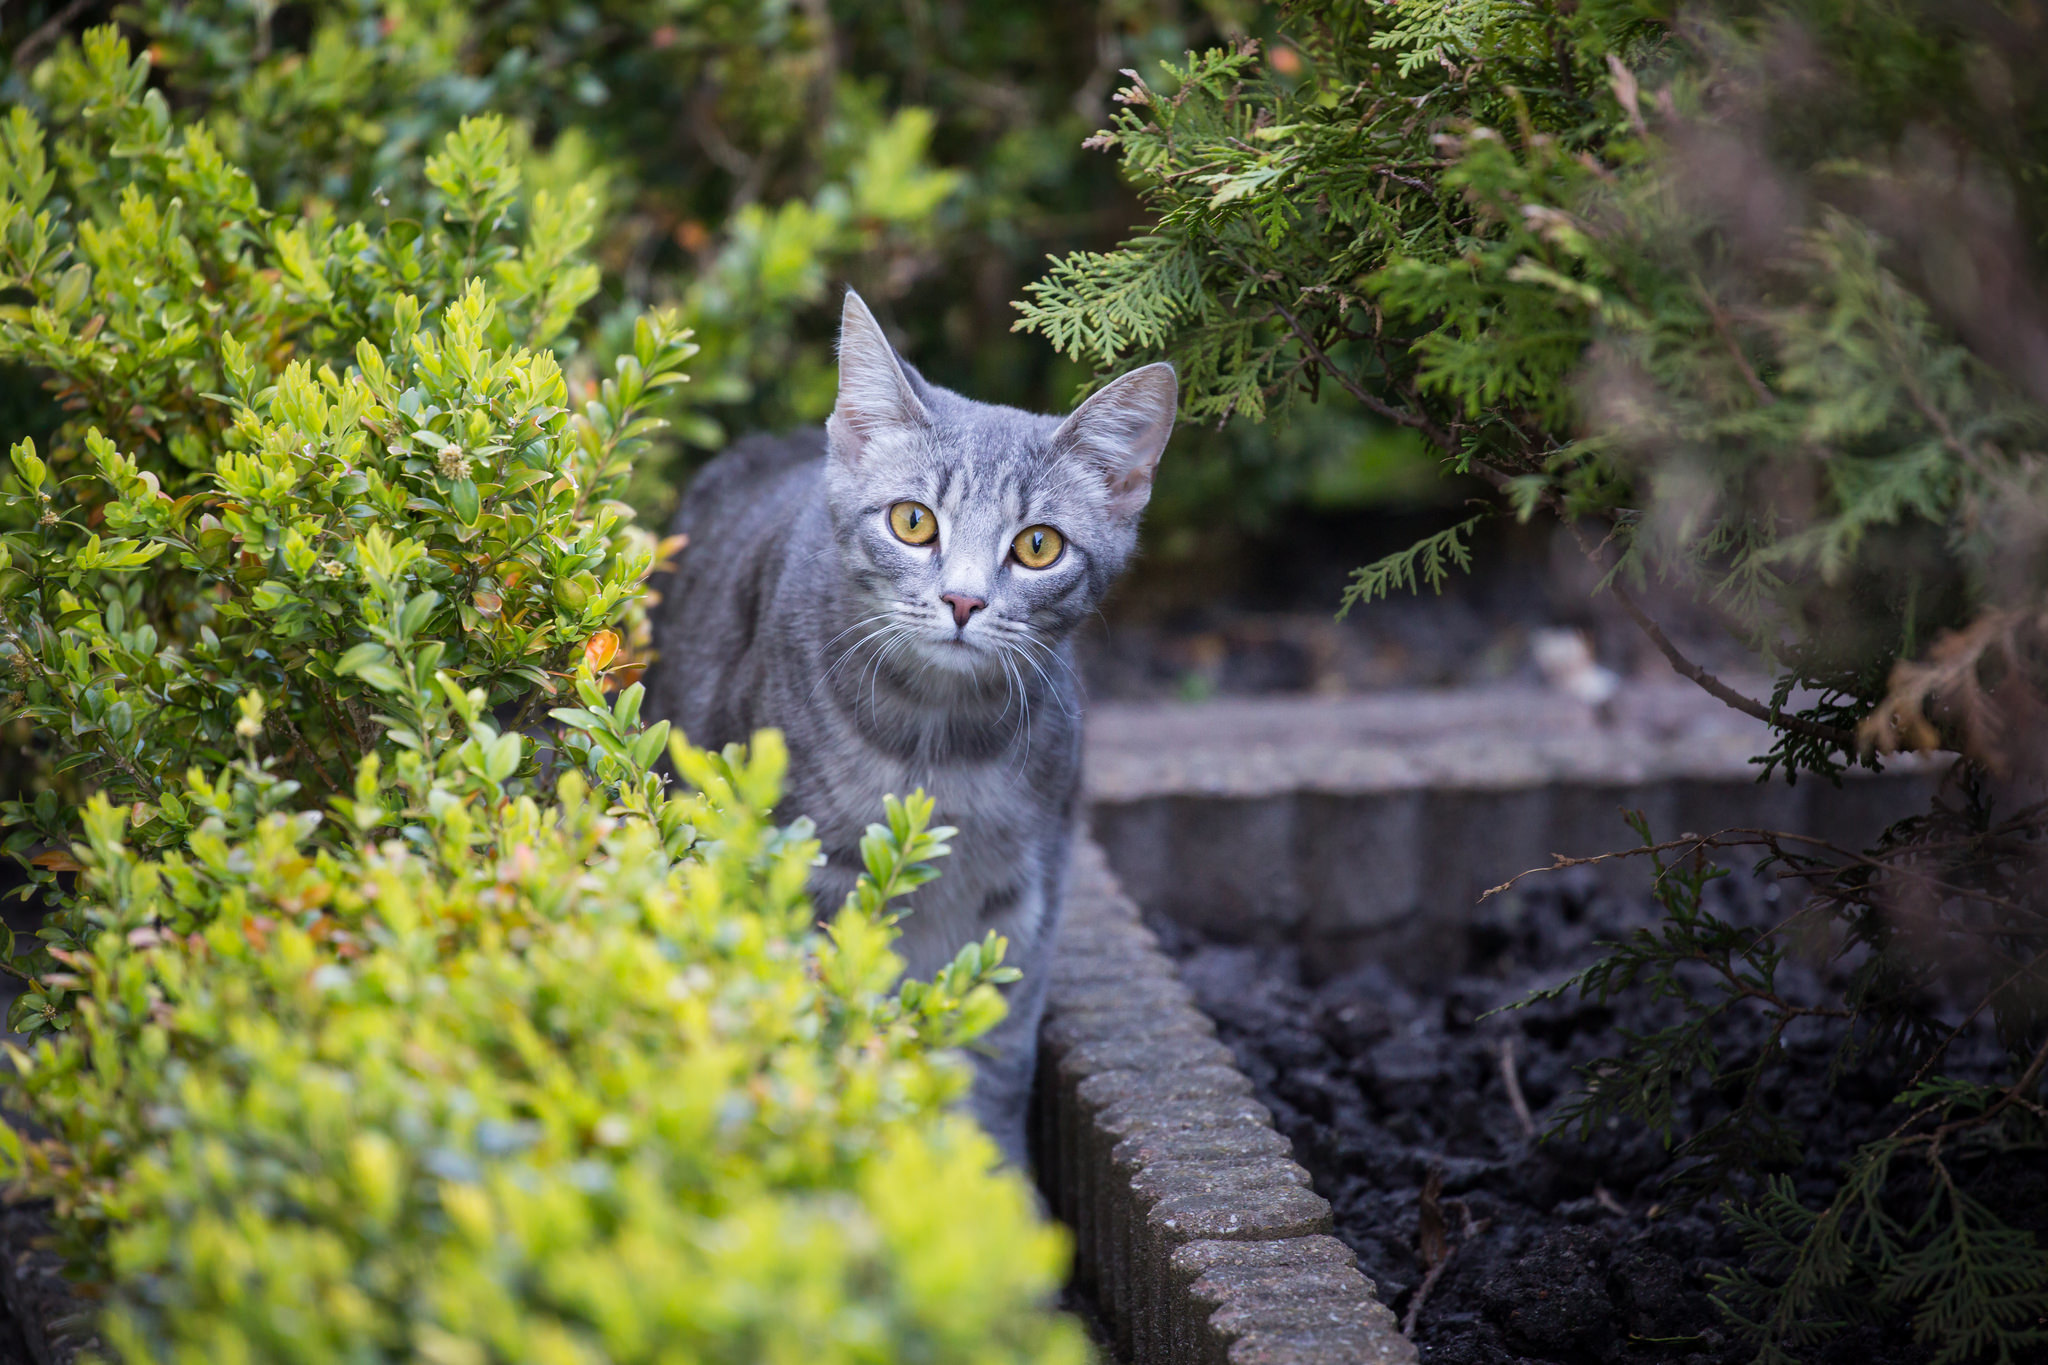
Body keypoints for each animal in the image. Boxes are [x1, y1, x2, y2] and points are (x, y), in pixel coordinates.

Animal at [647, 288, 1179, 1162]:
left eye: (1039, 545)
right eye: (913, 522)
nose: (963, 599)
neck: (939, 744)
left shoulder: (1024, 900)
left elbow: (991, 1053)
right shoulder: (810, 871)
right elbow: (819, 1017)